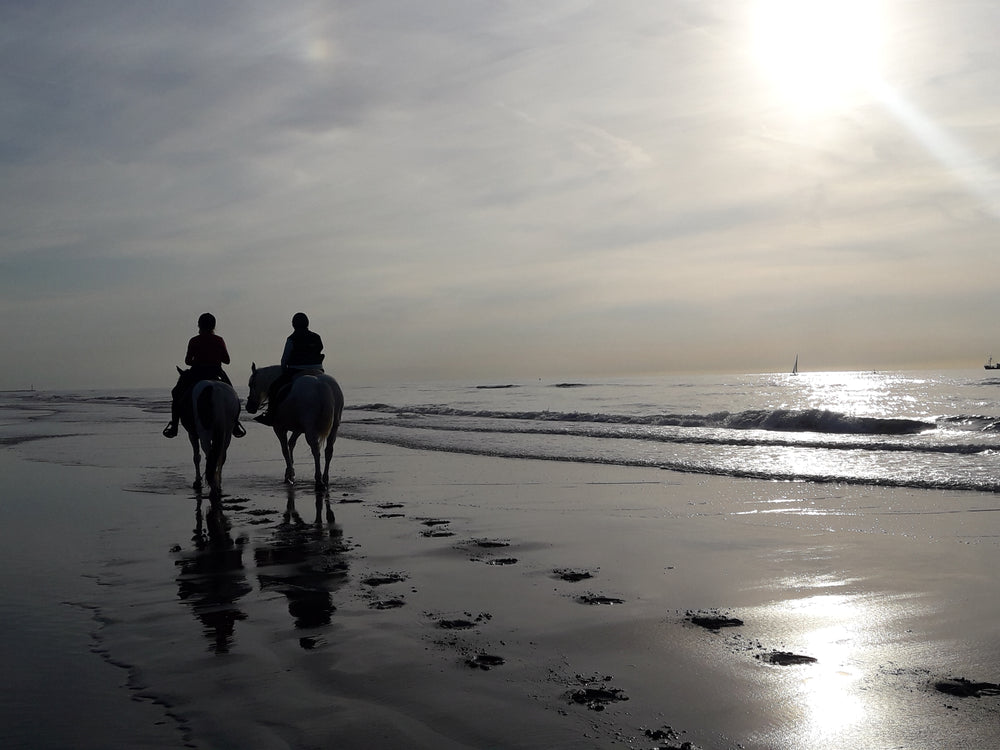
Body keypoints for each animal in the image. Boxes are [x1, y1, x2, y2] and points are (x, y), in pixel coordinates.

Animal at [177, 372, 241, 500]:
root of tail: (217, 391)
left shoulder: (192, 434)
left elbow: (196, 457)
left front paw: (197, 482)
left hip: (204, 433)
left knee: (209, 454)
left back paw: (213, 487)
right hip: (227, 432)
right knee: (221, 455)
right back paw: (217, 485)